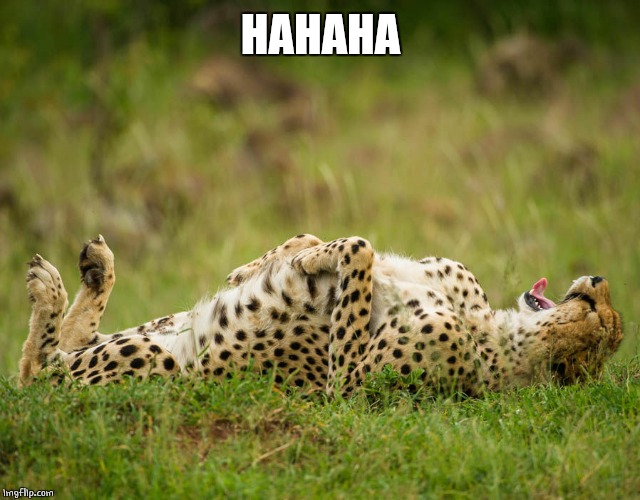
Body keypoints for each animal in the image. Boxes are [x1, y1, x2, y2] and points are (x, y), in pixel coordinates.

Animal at [18, 234, 623, 397]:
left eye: (601, 320)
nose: (598, 280)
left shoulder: (346, 386)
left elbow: (359, 248)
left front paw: (310, 263)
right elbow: (322, 241)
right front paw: (257, 268)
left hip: (159, 365)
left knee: (39, 375)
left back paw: (50, 290)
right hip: (154, 329)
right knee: (61, 351)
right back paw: (92, 269)